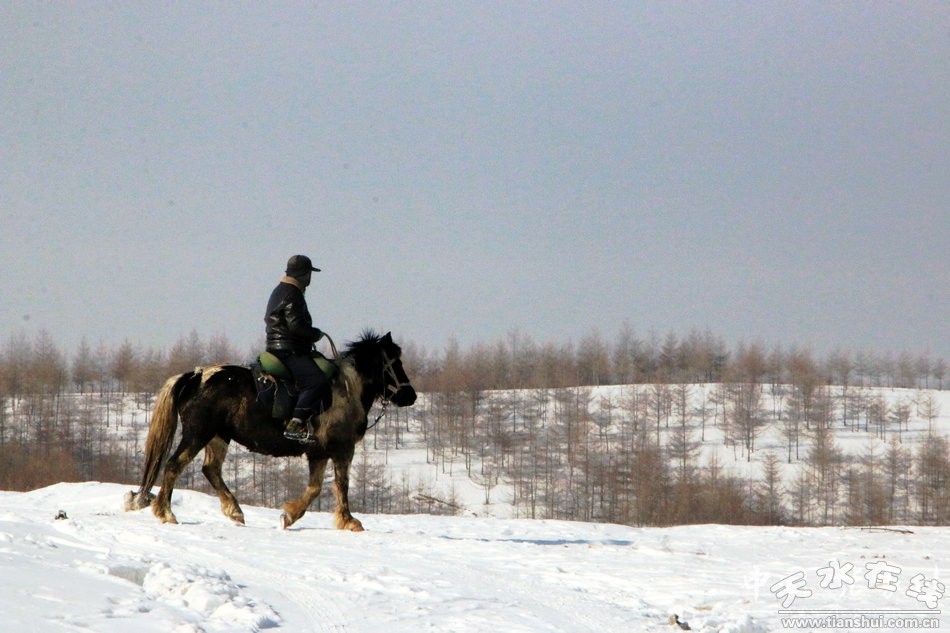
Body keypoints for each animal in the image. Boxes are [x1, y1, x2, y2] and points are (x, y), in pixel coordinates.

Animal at [123, 330, 416, 530]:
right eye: (395, 362)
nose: (410, 396)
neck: (345, 390)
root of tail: (195, 376)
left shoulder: (319, 452)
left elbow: (315, 488)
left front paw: (290, 515)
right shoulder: (341, 449)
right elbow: (340, 485)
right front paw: (349, 521)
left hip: (218, 436)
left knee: (211, 469)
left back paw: (234, 510)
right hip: (198, 433)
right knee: (174, 465)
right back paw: (166, 513)